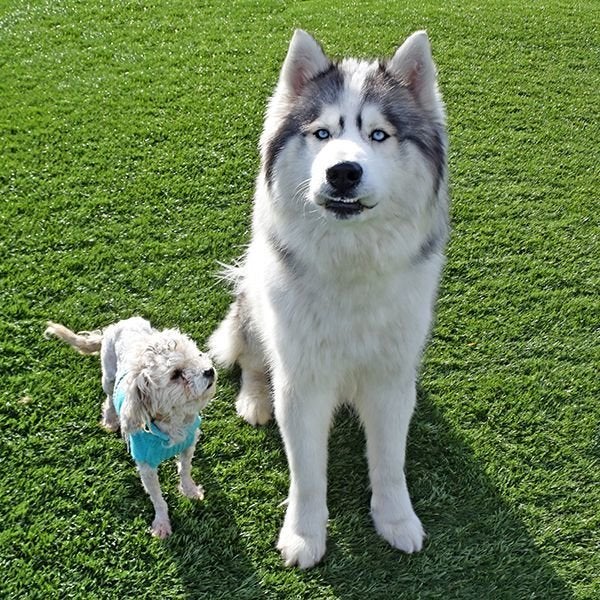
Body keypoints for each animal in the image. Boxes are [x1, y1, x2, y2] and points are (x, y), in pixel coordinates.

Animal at [45, 316, 218, 536]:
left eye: (197, 355)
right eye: (176, 374)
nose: (209, 371)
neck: (173, 421)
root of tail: (118, 324)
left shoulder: (188, 445)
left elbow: (185, 470)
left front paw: (190, 490)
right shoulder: (146, 467)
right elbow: (157, 498)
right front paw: (162, 523)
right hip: (108, 377)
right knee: (109, 399)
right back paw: (110, 420)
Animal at [209, 30, 448, 568]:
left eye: (379, 135)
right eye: (321, 133)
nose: (342, 172)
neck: (350, 262)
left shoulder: (390, 376)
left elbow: (390, 460)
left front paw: (396, 520)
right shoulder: (302, 380)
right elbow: (307, 473)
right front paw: (304, 534)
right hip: (254, 304)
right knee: (251, 359)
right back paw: (254, 398)